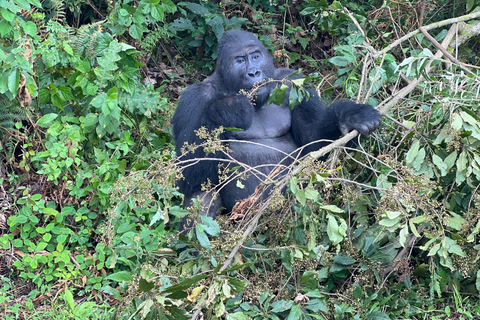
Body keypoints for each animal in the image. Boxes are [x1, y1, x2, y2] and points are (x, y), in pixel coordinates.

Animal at [172, 28, 382, 220]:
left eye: (256, 56)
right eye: (240, 61)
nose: (254, 72)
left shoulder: (294, 82)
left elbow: (314, 143)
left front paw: (351, 116)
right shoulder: (193, 99)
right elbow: (188, 176)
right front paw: (228, 110)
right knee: (201, 199)